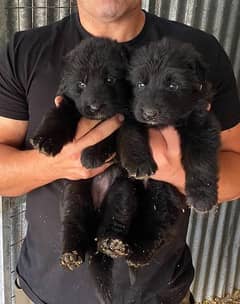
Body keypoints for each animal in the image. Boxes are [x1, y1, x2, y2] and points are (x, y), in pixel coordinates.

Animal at [124, 38, 221, 213]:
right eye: (140, 84)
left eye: (173, 85)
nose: (149, 113)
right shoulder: (130, 113)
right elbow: (131, 133)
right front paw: (137, 162)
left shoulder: (201, 123)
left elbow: (200, 158)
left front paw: (202, 196)